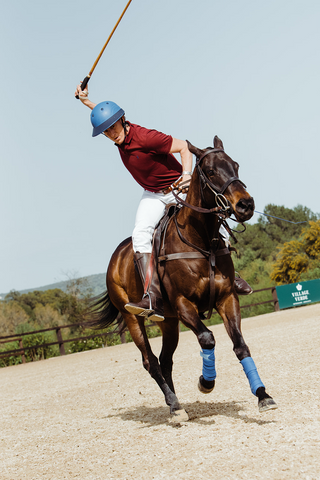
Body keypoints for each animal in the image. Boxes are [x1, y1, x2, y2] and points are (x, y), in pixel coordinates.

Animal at [90, 135, 278, 420]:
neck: (201, 241)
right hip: (133, 317)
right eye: (210, 171)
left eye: (236, 165)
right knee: (151, 361)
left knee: (165, 360)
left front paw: (263, 395)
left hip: (168, 321)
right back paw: (175, 405)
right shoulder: (183, 304)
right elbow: (207, 338)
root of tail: (116, 257)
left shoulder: (227, 298)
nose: (246, 205)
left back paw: (174, 403)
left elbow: (240, 345)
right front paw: (206, 382)